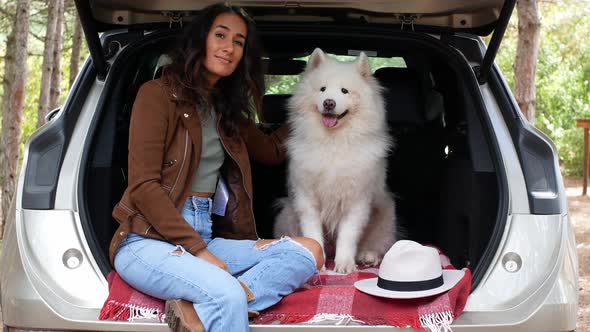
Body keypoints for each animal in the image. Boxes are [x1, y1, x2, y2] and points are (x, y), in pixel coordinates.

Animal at [276, 48, 398, 274]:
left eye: (344, 91)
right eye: (323, 89)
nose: (329, 102)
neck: (333, 142)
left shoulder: (356, 202)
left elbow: (347, 237)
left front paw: (344, 265)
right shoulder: (307, 200)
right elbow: (313, 235)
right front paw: (319, 263)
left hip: (385, 214)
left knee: (379, 244)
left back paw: (368, 256)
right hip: (288, 214)